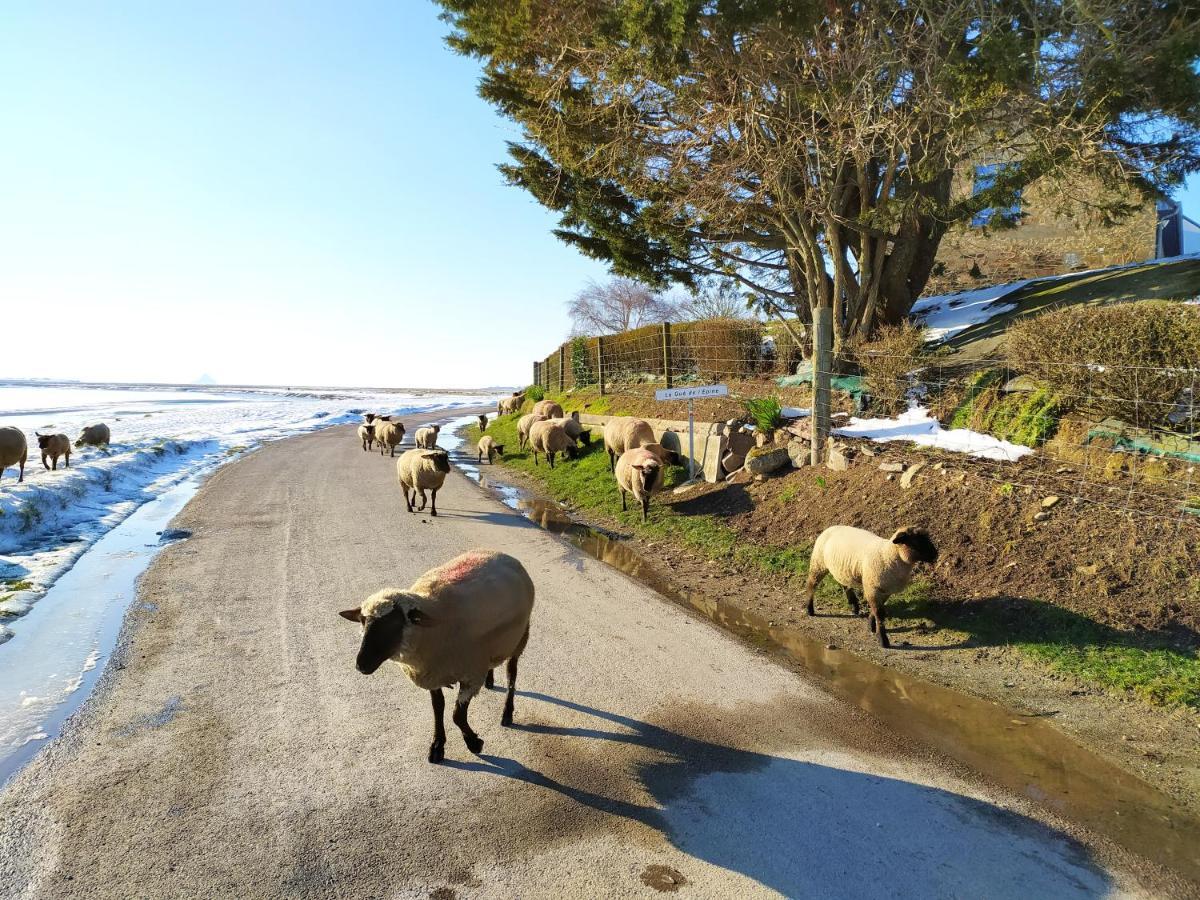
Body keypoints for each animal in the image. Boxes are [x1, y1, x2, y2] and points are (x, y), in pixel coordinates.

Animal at [338, 547, 535, 763]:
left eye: (394, 623)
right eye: (363, 621)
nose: (361, 665)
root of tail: (500, 553)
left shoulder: (470, 674)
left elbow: (457, 715)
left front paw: (474, 743)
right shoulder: (433, 674)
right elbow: (438, 709)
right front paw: (438, 746)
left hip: (521, 637)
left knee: (511, 674)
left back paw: (507, 713)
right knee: (493, 662)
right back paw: (490, 681)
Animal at [806, 525, 936, 652]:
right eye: (916, 541)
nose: (935, 554)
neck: (888, 554)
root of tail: (831, 527)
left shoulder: (884, 590)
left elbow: (876, 610)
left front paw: (871, 625)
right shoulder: (872, 588)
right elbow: (879, 613)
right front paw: (883, 640)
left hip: (841, 569)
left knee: (844, 584)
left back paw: (854, 605)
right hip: (818, 563)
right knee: (811, 585)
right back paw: (810, 610)